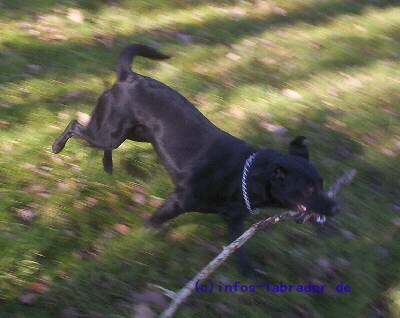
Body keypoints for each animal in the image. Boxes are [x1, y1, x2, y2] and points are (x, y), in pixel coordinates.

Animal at [53, 43, 340, 278]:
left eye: (321, 183)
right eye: (308, 188)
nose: (336, 208)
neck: (244, 175)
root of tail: (128, 76)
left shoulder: (234, 222)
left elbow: (239, 253)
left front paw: (251, 277)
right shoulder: (179, 201)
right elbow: (154, 221)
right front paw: (142, 238)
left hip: (135, 135)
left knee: (98, 140)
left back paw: (107, 166)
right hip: (111, 133)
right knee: (75, 124)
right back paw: (57, 146)